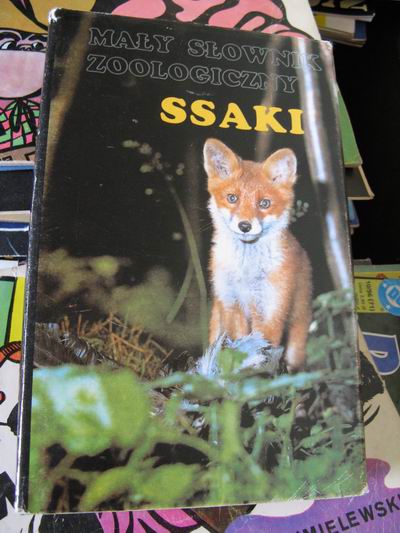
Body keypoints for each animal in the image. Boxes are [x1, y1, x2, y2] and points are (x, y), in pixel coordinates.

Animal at [204, 138, 312, 372]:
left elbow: (261, 353)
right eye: (232, 198)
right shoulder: (233, 305)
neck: (246, 272)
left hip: (298, 326)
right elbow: (237, 349)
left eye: (264, 203)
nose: (244, 226)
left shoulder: (271, 310)